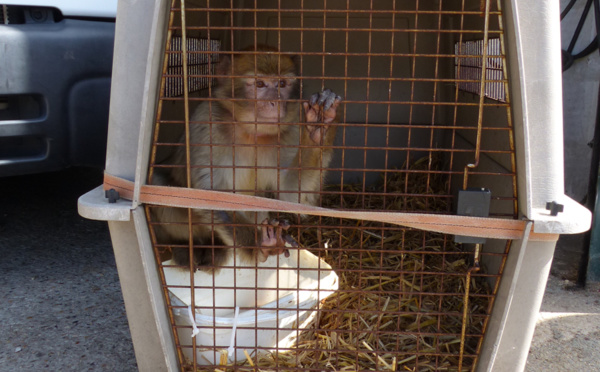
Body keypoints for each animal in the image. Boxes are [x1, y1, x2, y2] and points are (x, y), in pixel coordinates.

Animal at [152, 45, 342, 274]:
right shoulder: (207, 124)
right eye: (260, 84)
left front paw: (319, 127)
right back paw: (190, 247)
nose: (276, 101)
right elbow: (207, 195)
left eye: (281, 84)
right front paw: (261, 245)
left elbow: (292, 196)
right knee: (159, 183)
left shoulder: (291, 129)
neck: (251, 131)